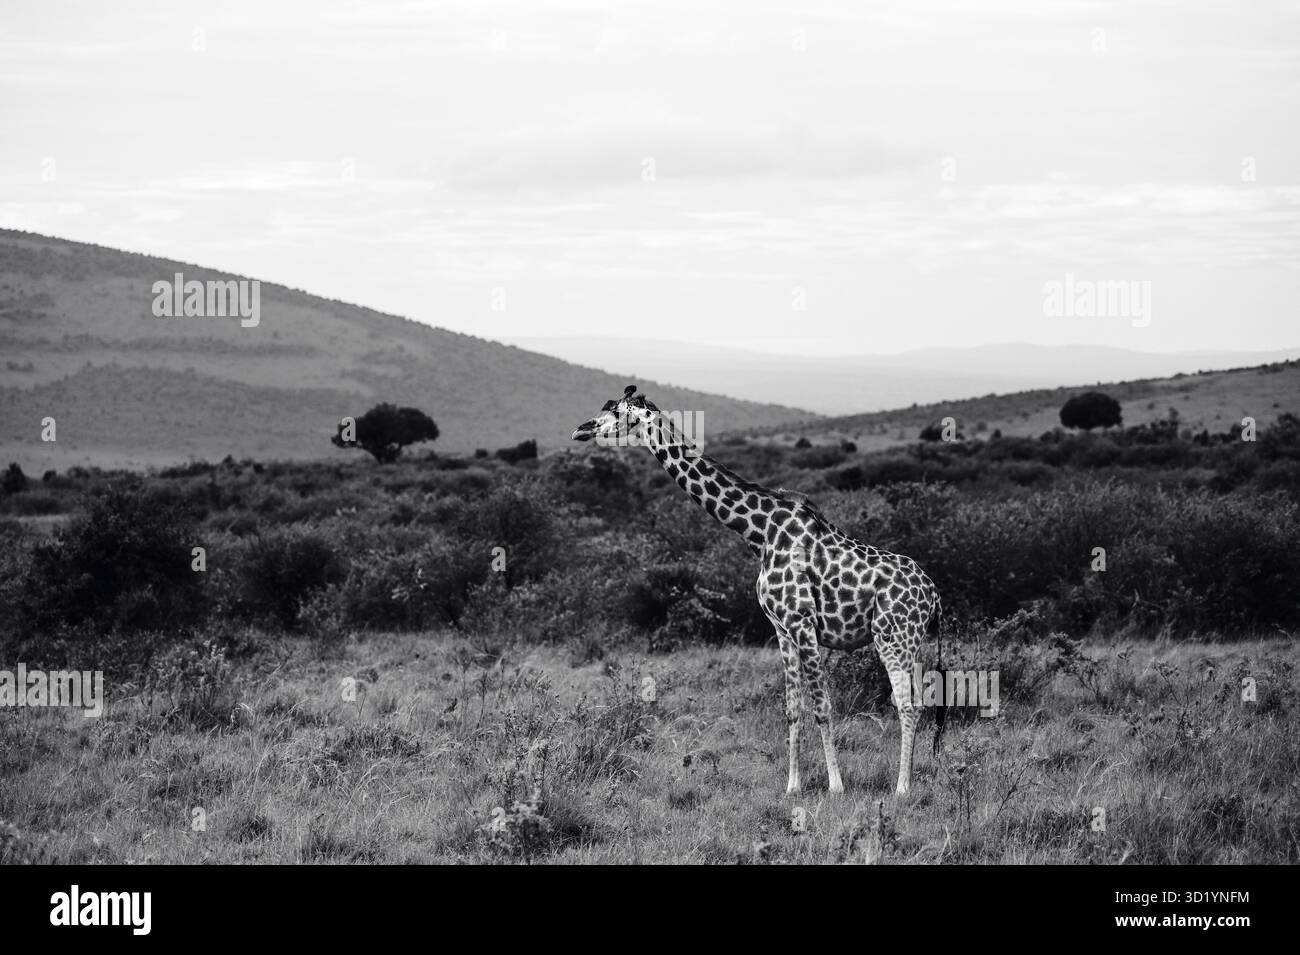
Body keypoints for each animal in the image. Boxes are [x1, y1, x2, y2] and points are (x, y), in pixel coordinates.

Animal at [572, 386, 944, 796]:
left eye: (619, 413)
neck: (760, 533)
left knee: (907, 704)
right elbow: (793, 709)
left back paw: (902, 788)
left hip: (894, 637)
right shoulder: (781, 628)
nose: (581, 429)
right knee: (918, 701)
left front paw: (835, 786)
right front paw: (793, 786)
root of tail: (933, 595)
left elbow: (823, 707)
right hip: (912, 642)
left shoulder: (802, 622)